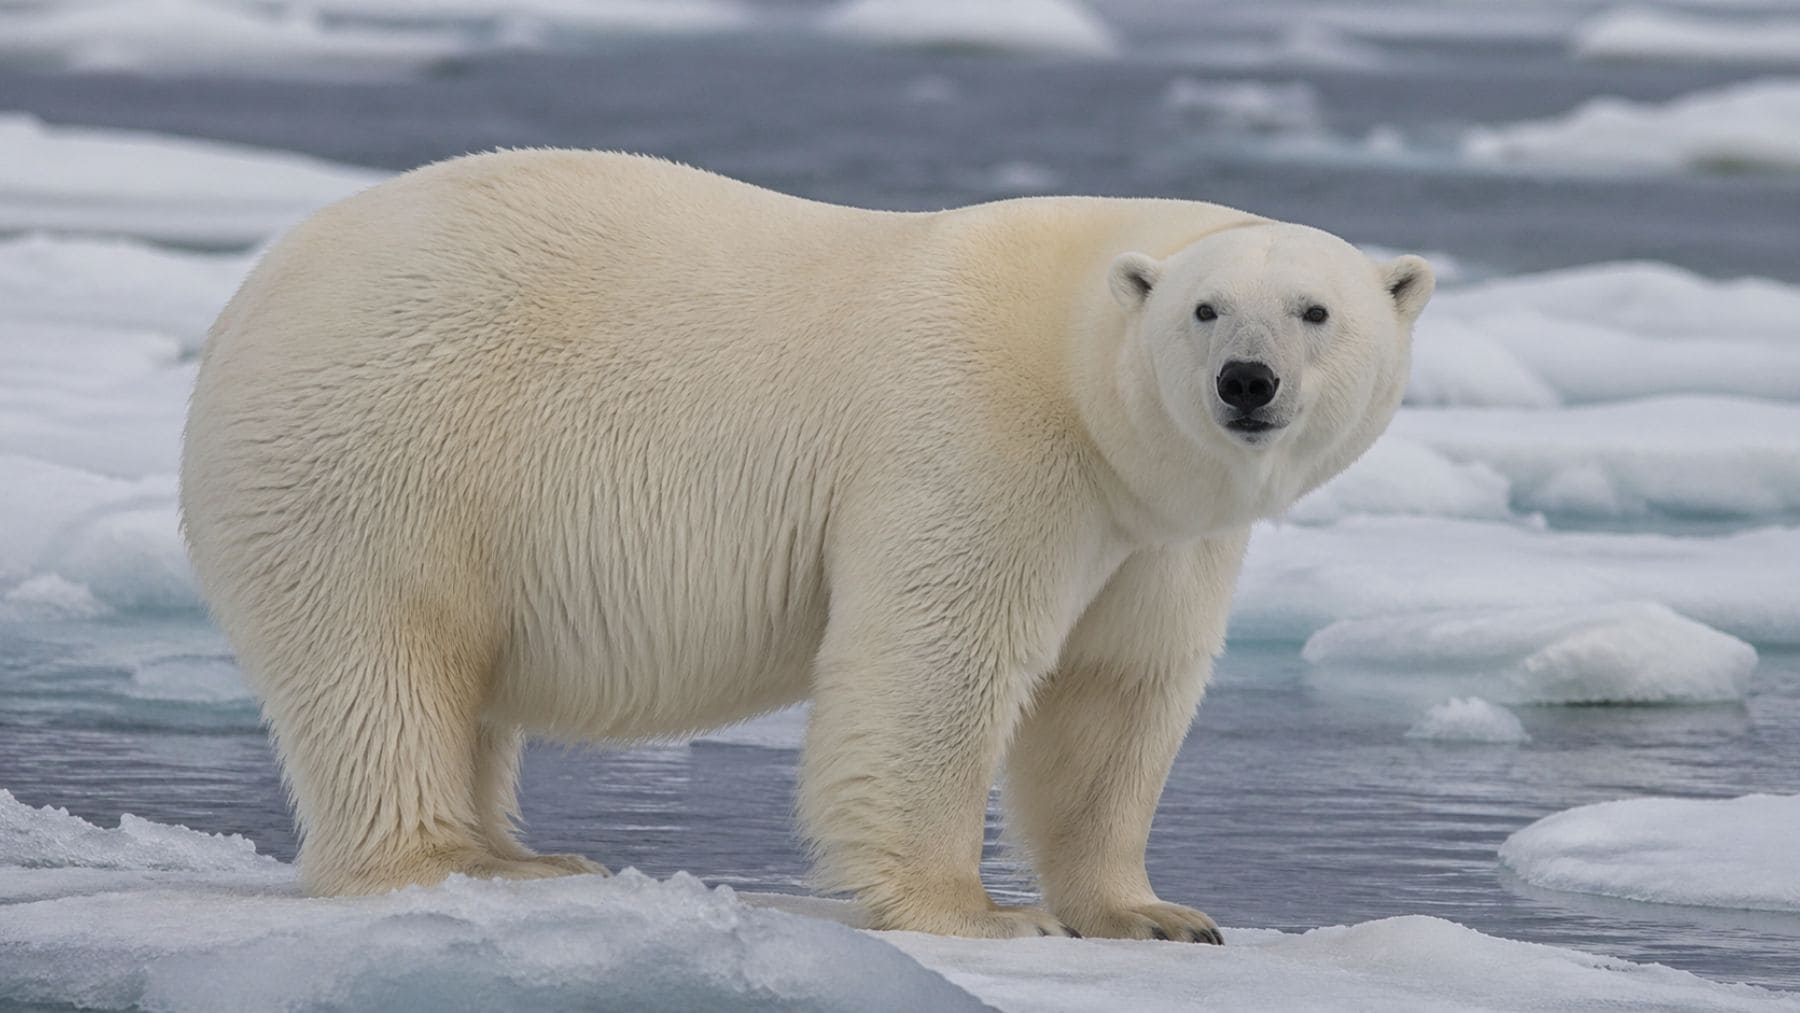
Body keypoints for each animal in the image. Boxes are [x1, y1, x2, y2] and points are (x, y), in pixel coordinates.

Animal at [180, 150, 1432, 941]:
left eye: (1316, 310)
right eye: (1205, 310)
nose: (1247, 382)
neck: (1070, 357)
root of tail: (243, 305)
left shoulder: (1154, 528)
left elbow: (1118, 689)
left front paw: (1153, 912)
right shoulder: (978, 437)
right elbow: (936, 660)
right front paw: (977, 909)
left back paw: (521, 854)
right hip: (385, 453)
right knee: (384, 659)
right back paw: (445, 858)